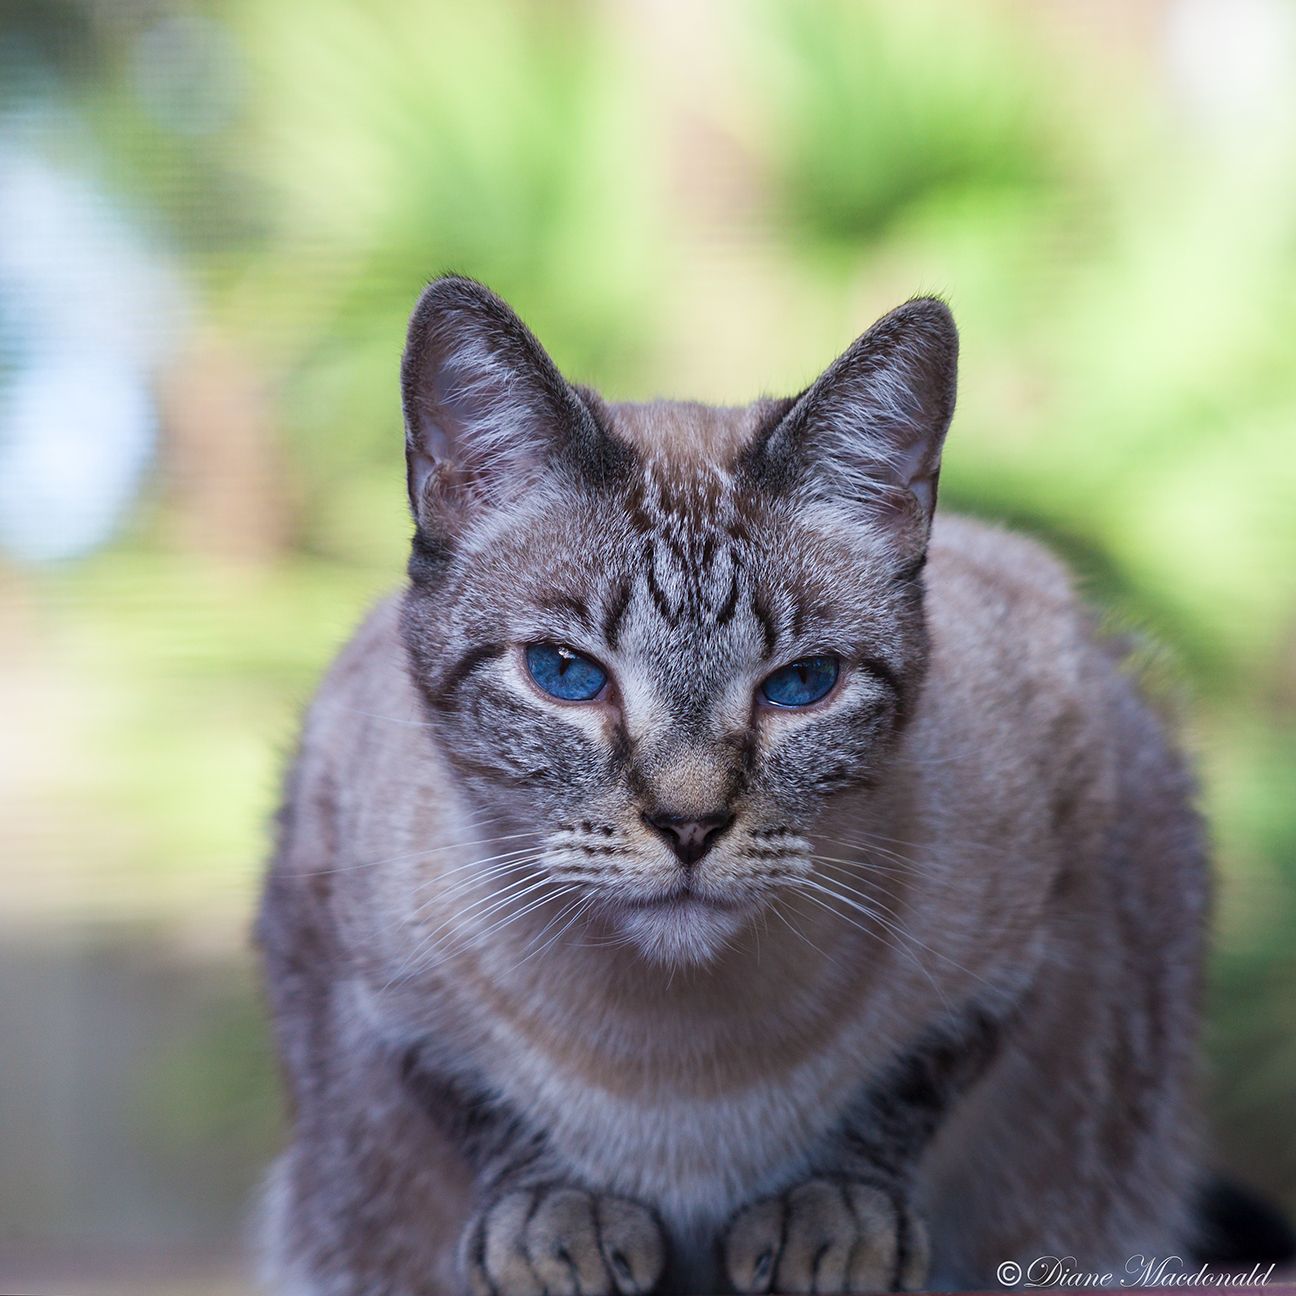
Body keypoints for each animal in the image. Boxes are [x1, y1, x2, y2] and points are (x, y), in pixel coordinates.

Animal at [255, 278, 1223, 1290]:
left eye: (802, 685)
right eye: (565, 674)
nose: (689, 824)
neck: (681, 1065)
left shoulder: (1038, 911)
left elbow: (903, 1094)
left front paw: (830, 1222)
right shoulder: (370, 974)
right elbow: (480, 1111)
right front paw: (557, 1227)